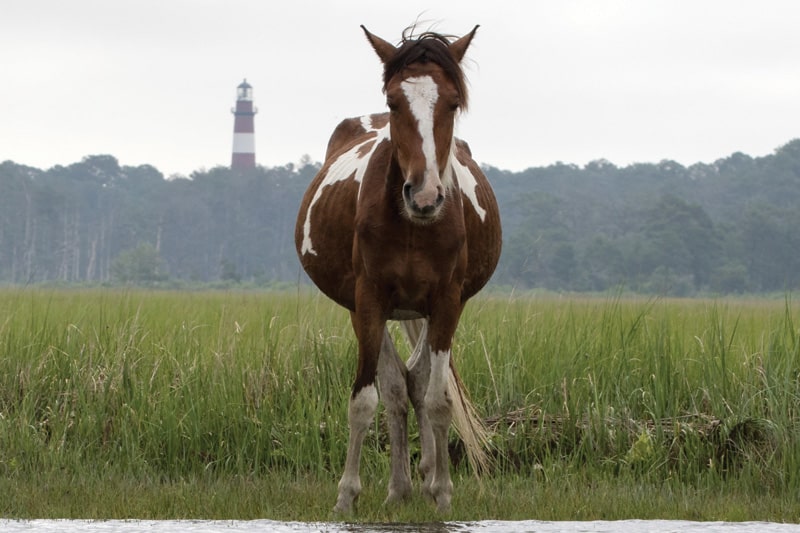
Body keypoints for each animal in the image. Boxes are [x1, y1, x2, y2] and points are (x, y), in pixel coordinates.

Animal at [294, 25, 500, 512]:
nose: (423, 195)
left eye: (452, 103)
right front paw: (346, 497)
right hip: (368, 309)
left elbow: (438, 399)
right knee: (394, 388)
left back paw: (422, 478)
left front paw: (443, 494)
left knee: (417, 383)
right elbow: (365, 400)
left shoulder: (446, 303)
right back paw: (399, 487)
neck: (413, 225)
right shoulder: (369, 300)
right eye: (393, 103)